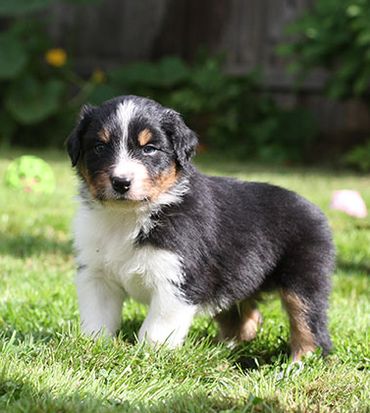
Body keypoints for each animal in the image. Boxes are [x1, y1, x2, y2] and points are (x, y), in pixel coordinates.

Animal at [67, 95, 336, 358]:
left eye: (149, 149)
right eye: (99, 147)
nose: (121, 182)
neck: (128, 217)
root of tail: (314, 209)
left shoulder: (178, 279)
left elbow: (156, 329)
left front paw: (148, 356)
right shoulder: (97, 274)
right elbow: (97, 317)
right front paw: (93, 346)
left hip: (304, 280)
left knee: (310, 324)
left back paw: (300, 361)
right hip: (232, 277)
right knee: (245, 317)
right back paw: (221, 348)